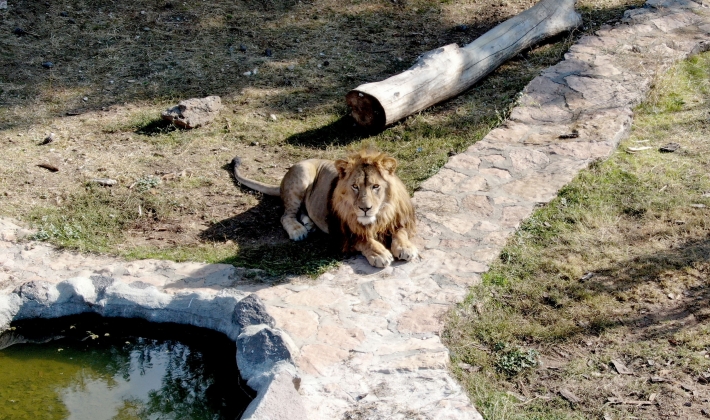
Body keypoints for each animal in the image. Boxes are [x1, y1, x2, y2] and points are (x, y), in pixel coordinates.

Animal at [234, 148, 418, 266]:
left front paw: (405, 247)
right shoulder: (341, 232)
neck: (380, 214)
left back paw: (309, 224)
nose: (365, 209)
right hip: (302, 175)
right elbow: (363, 239)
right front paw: (379, 253)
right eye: (355, 186)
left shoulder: (399, 219)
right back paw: (298, 230)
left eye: (375, 186)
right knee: (285, 215)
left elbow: (400, 231)